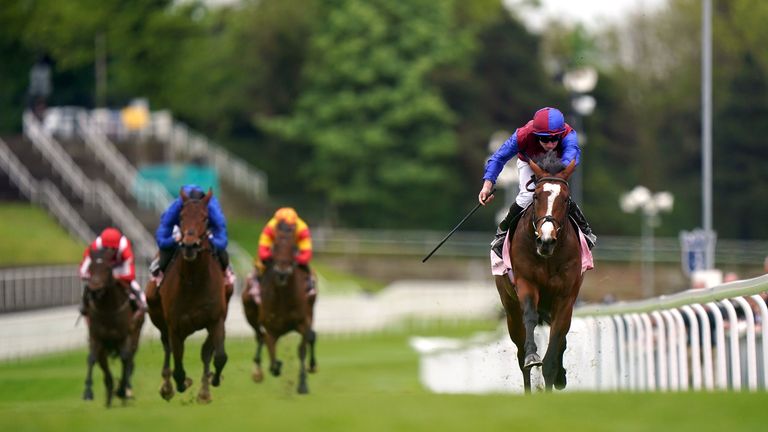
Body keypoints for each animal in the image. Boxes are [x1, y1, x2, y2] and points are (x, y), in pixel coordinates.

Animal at [82, 245, 145, 406]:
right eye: (90, 268)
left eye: (107, 268)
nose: (95, 290)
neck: (108, 309)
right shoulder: (96, 337)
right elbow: (92, 358)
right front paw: (88, 392)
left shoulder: (124, 337)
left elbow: (125, 358)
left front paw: (122, 389)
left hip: (135, 335)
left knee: (129, 359)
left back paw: (126, 389)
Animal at [146, 187, 232, 404]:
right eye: (182, 216)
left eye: (205, 217)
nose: (189, 245)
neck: (194, 281)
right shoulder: (174, 325)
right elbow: (178, 368)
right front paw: (179, 383)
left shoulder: (216, 319)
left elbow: (219, 357)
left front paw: (212, 381)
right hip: (159, 316)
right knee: (167, 348)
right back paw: (167, 386)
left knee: (205, 352)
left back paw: (204, 390)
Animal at [242, 221, 316, 394]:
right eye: (274, 246)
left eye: (293, 246)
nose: (282, 271)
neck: (284, 298)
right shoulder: (271, 327)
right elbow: (273, 362)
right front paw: (277, 366)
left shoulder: (303, 322)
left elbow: (302, 348)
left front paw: (303, 384)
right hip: (250, 311)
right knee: (259, 335)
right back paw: (257, 371)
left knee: (311, 336)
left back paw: (312, 365)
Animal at [496, 154, 584, 394]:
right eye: (536, 196)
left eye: (566, 199)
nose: (546, 240)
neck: (548, 257)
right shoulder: (526, 282)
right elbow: (530, 317)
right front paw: (533, 356)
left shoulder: (565, 297)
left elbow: (557, 339)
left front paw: (555, 376)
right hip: (510, 308)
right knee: (519, 351)